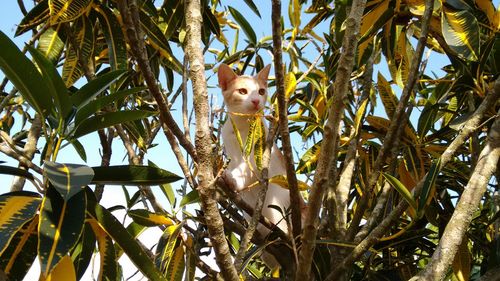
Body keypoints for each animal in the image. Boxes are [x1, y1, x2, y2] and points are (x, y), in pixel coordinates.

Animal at [217, 63, 292, 234]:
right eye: (242, 91)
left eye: (261, 91)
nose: (256, 100)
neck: (241, 126)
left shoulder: (258, 154)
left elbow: (245, 169)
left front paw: (232, 179)